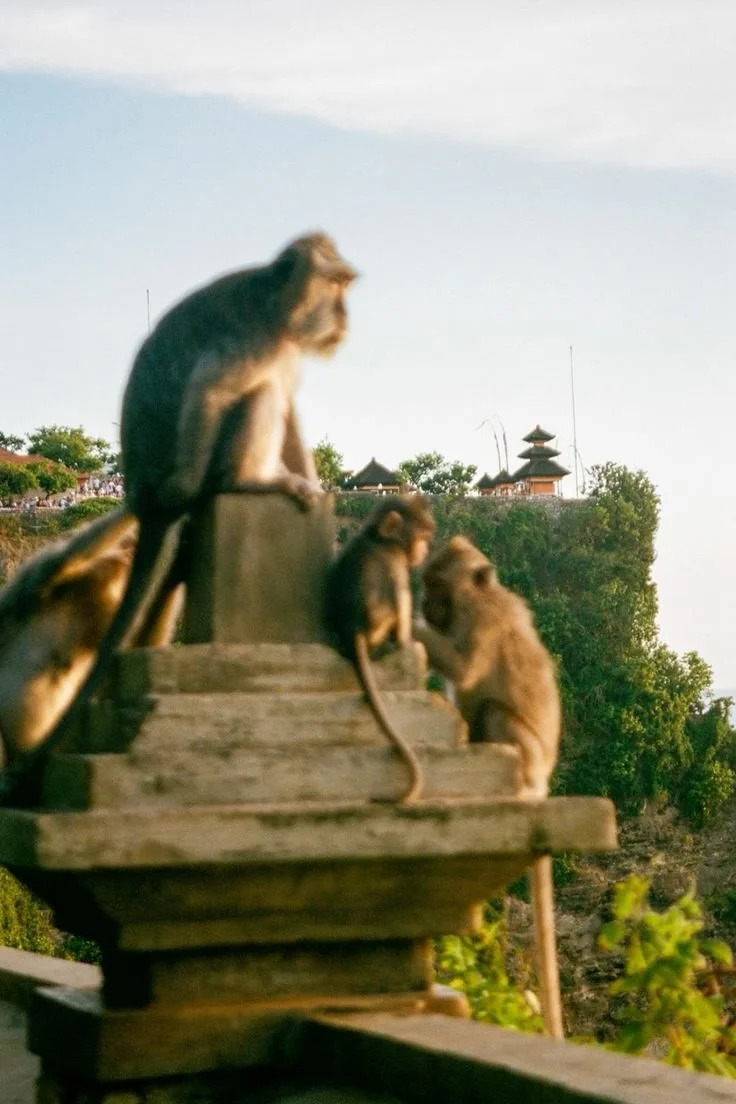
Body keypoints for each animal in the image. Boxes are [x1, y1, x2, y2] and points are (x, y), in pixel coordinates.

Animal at [325, 494, 436, 804]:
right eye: (420, 537)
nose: (423, 551)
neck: (376, 537)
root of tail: (355, 633)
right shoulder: (395, 564)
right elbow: (403, 600)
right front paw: (408, 642)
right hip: (379, 624)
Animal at [414, 535, 564, 1037]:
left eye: (437, 585)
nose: (424, 603)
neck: (475, 599)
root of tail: (542, 784)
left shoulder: (483, 622)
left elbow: (463, 670)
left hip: (527, 759)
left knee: (493, 711)